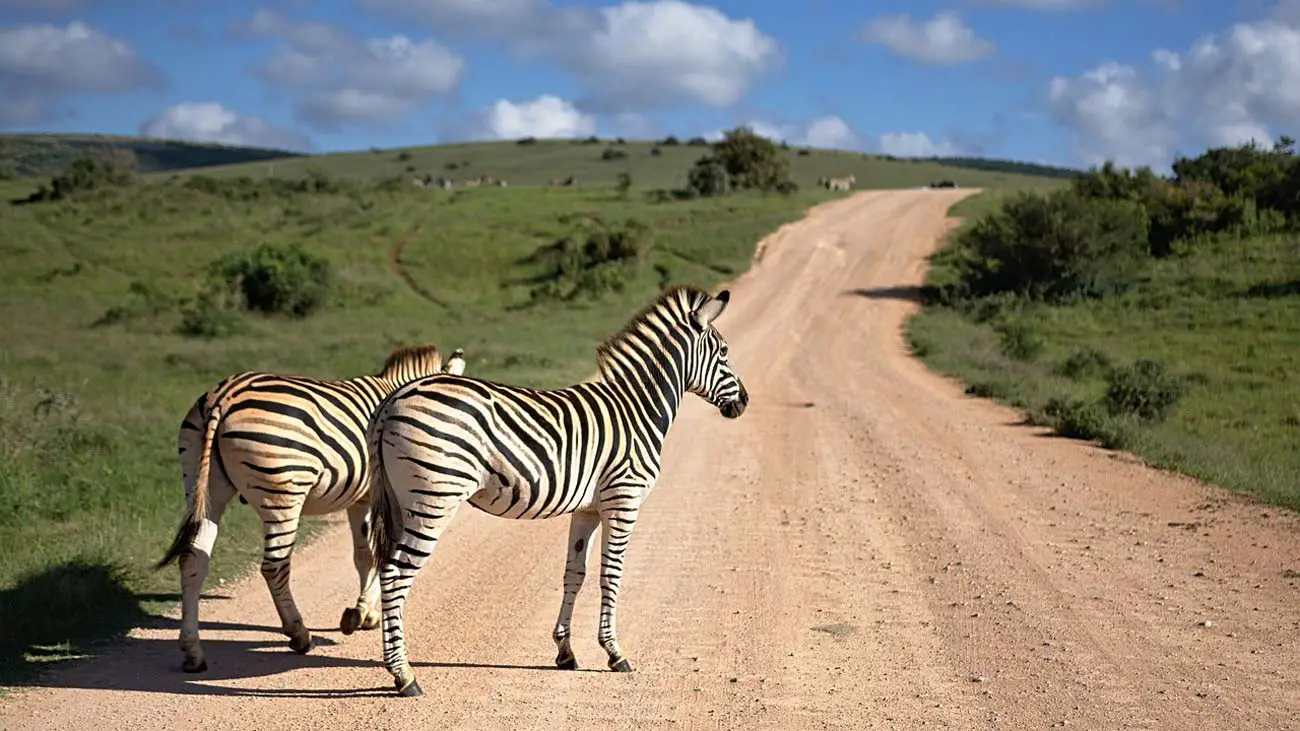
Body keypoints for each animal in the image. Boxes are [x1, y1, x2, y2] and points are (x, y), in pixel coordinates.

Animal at [153, 340, 467, 671]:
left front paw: (362, 613)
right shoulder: (379, 497)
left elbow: (364, 555)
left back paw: (193, 651)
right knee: (274, 567)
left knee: (193, 560)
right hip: (282, 492)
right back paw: (299, 634)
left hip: (202, 485)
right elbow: (378, 554)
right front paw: (365, 613)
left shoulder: (361, 499)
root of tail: (225, 395)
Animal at [366, 284, 754, 691]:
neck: (637, 410)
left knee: (387, 570)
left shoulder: (588, 510)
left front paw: (565, 651)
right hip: (433, 500)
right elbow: (611, 573)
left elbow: (575, 573)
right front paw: (615, 652)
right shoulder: (624, 500)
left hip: (402, 501)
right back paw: (404, 675)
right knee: (395, 575)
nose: (744, 402)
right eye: (724, 352)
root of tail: (392, 401)